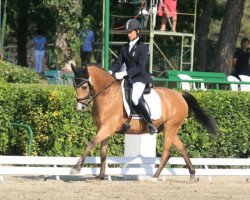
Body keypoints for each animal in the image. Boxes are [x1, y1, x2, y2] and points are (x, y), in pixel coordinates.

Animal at [70, 64, 217, 181]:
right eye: (74, 86)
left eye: (84, 86)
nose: (80, 107)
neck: (107, 95)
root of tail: (179, 94)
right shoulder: (103, 129)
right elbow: (103, 153)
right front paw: (100, 176)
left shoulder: (107, 128)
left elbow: (90, 144)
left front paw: (76, 168)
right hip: (169, 128)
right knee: (182, 149)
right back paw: (192, 175)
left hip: (170, 127)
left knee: (166, 152)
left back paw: (155, 177)